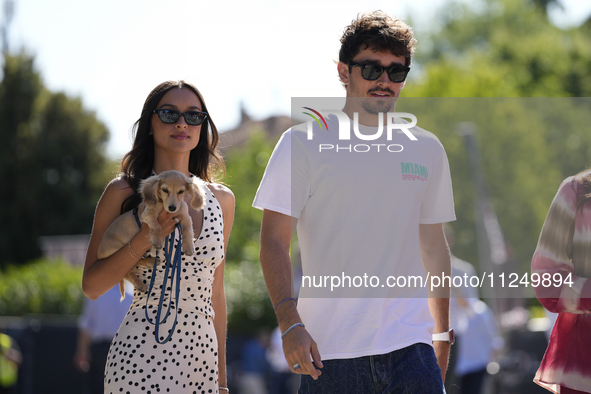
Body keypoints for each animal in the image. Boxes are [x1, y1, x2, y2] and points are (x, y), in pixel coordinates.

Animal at [97, 170, 206, 298]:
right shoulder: (149, 214)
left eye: (181, 191)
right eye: (165, 190)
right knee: (127, 271)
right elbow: (157, 226)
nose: (172, 208)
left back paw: (151, 262)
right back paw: (140, 283)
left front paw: (189, 247)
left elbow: (188, 231)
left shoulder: (185, 217)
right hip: (118, 253)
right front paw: (158, 241)